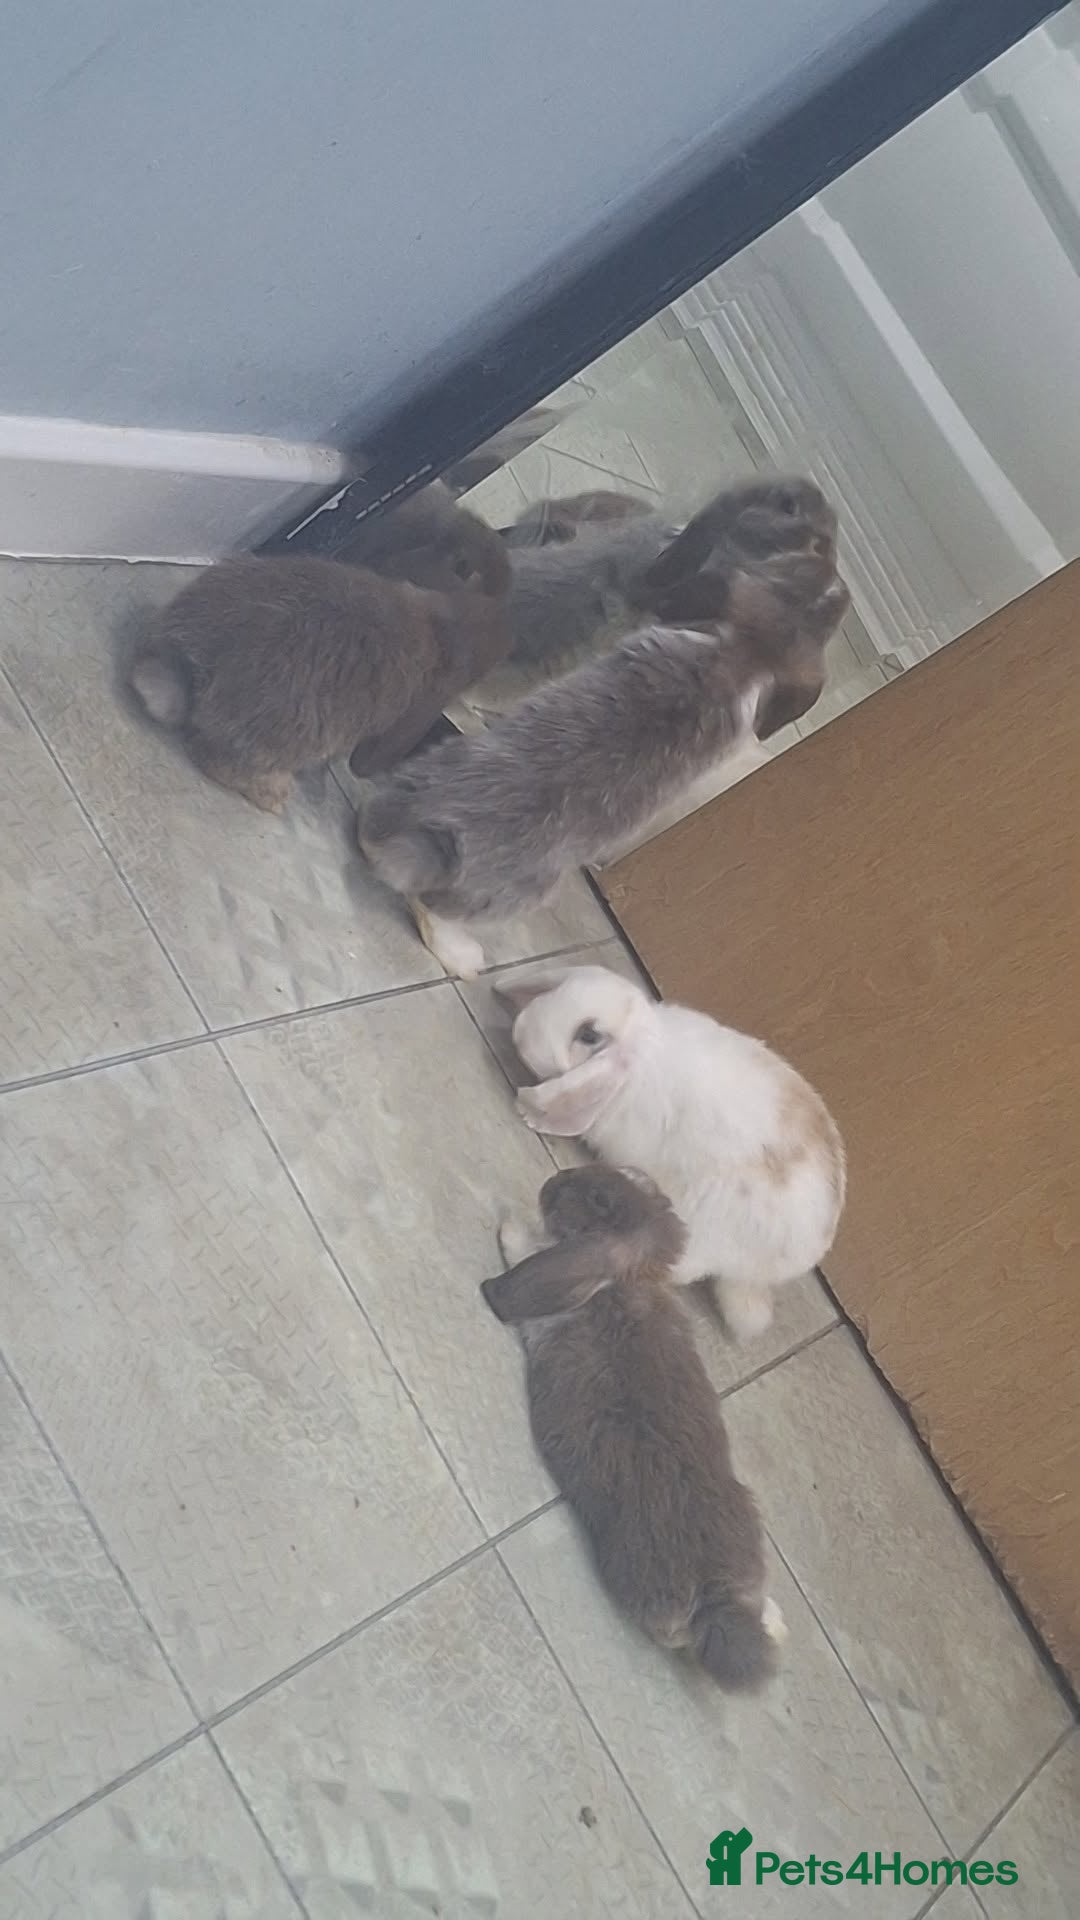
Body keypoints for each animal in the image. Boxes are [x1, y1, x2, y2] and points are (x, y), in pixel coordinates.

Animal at [482, 1164, 785, 1690]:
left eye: (599, 1199)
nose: (552, 1181)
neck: (625, 1281)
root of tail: (717, 1603)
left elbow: (524, 1251)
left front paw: (511, 1226)